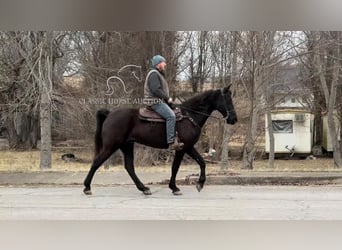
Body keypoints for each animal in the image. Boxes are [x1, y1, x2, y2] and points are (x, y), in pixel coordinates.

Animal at [83, 86, 238, 195]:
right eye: (228, 100)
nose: (234, 119)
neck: (190, 115)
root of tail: (110, 114)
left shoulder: (188, 147)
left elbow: (202, 162)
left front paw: (199, 184)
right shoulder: (183, 148)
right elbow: (175, 167)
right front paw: (175, 188)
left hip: (126, 146)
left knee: (129, 167)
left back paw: (144, 188)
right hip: (111, 146)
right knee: (96, 162)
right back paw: (87, 187)